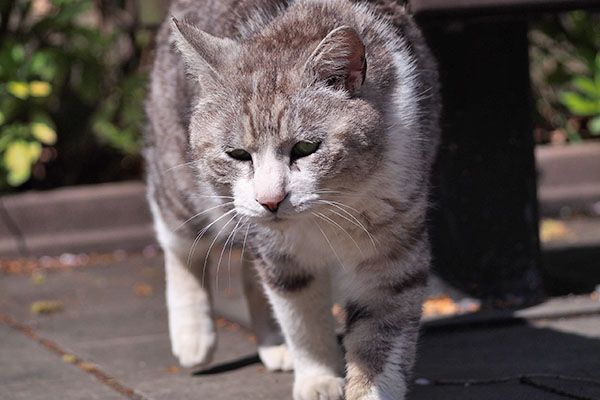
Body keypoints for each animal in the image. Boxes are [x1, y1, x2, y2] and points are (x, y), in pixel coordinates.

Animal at [142, 0, 438, 396]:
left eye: (306, 148)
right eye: (237, 154)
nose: (270, 200)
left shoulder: (393, 251)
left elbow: (380, 339)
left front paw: (367, 388)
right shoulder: (283, 256)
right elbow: (302, 319)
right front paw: (318, 380)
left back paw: (273, 345)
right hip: (183, 180)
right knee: (179, 241)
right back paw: (193, 337)